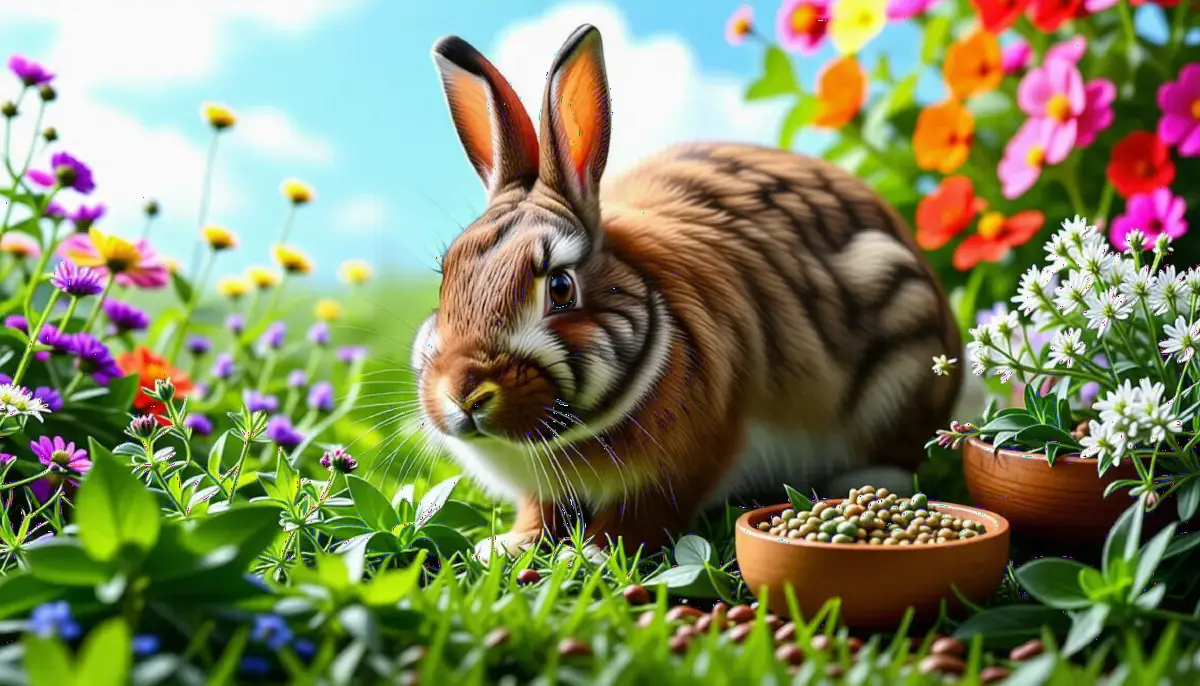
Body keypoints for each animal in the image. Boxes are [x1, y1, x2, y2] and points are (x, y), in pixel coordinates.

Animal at [412, 24, 963, 560]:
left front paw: (591, 555)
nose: (463, 393)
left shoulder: (685, 466)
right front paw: (506, 547)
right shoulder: (544, 492)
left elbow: (640, 520)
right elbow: (539, 513)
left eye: (561, 288)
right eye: (446, 276)